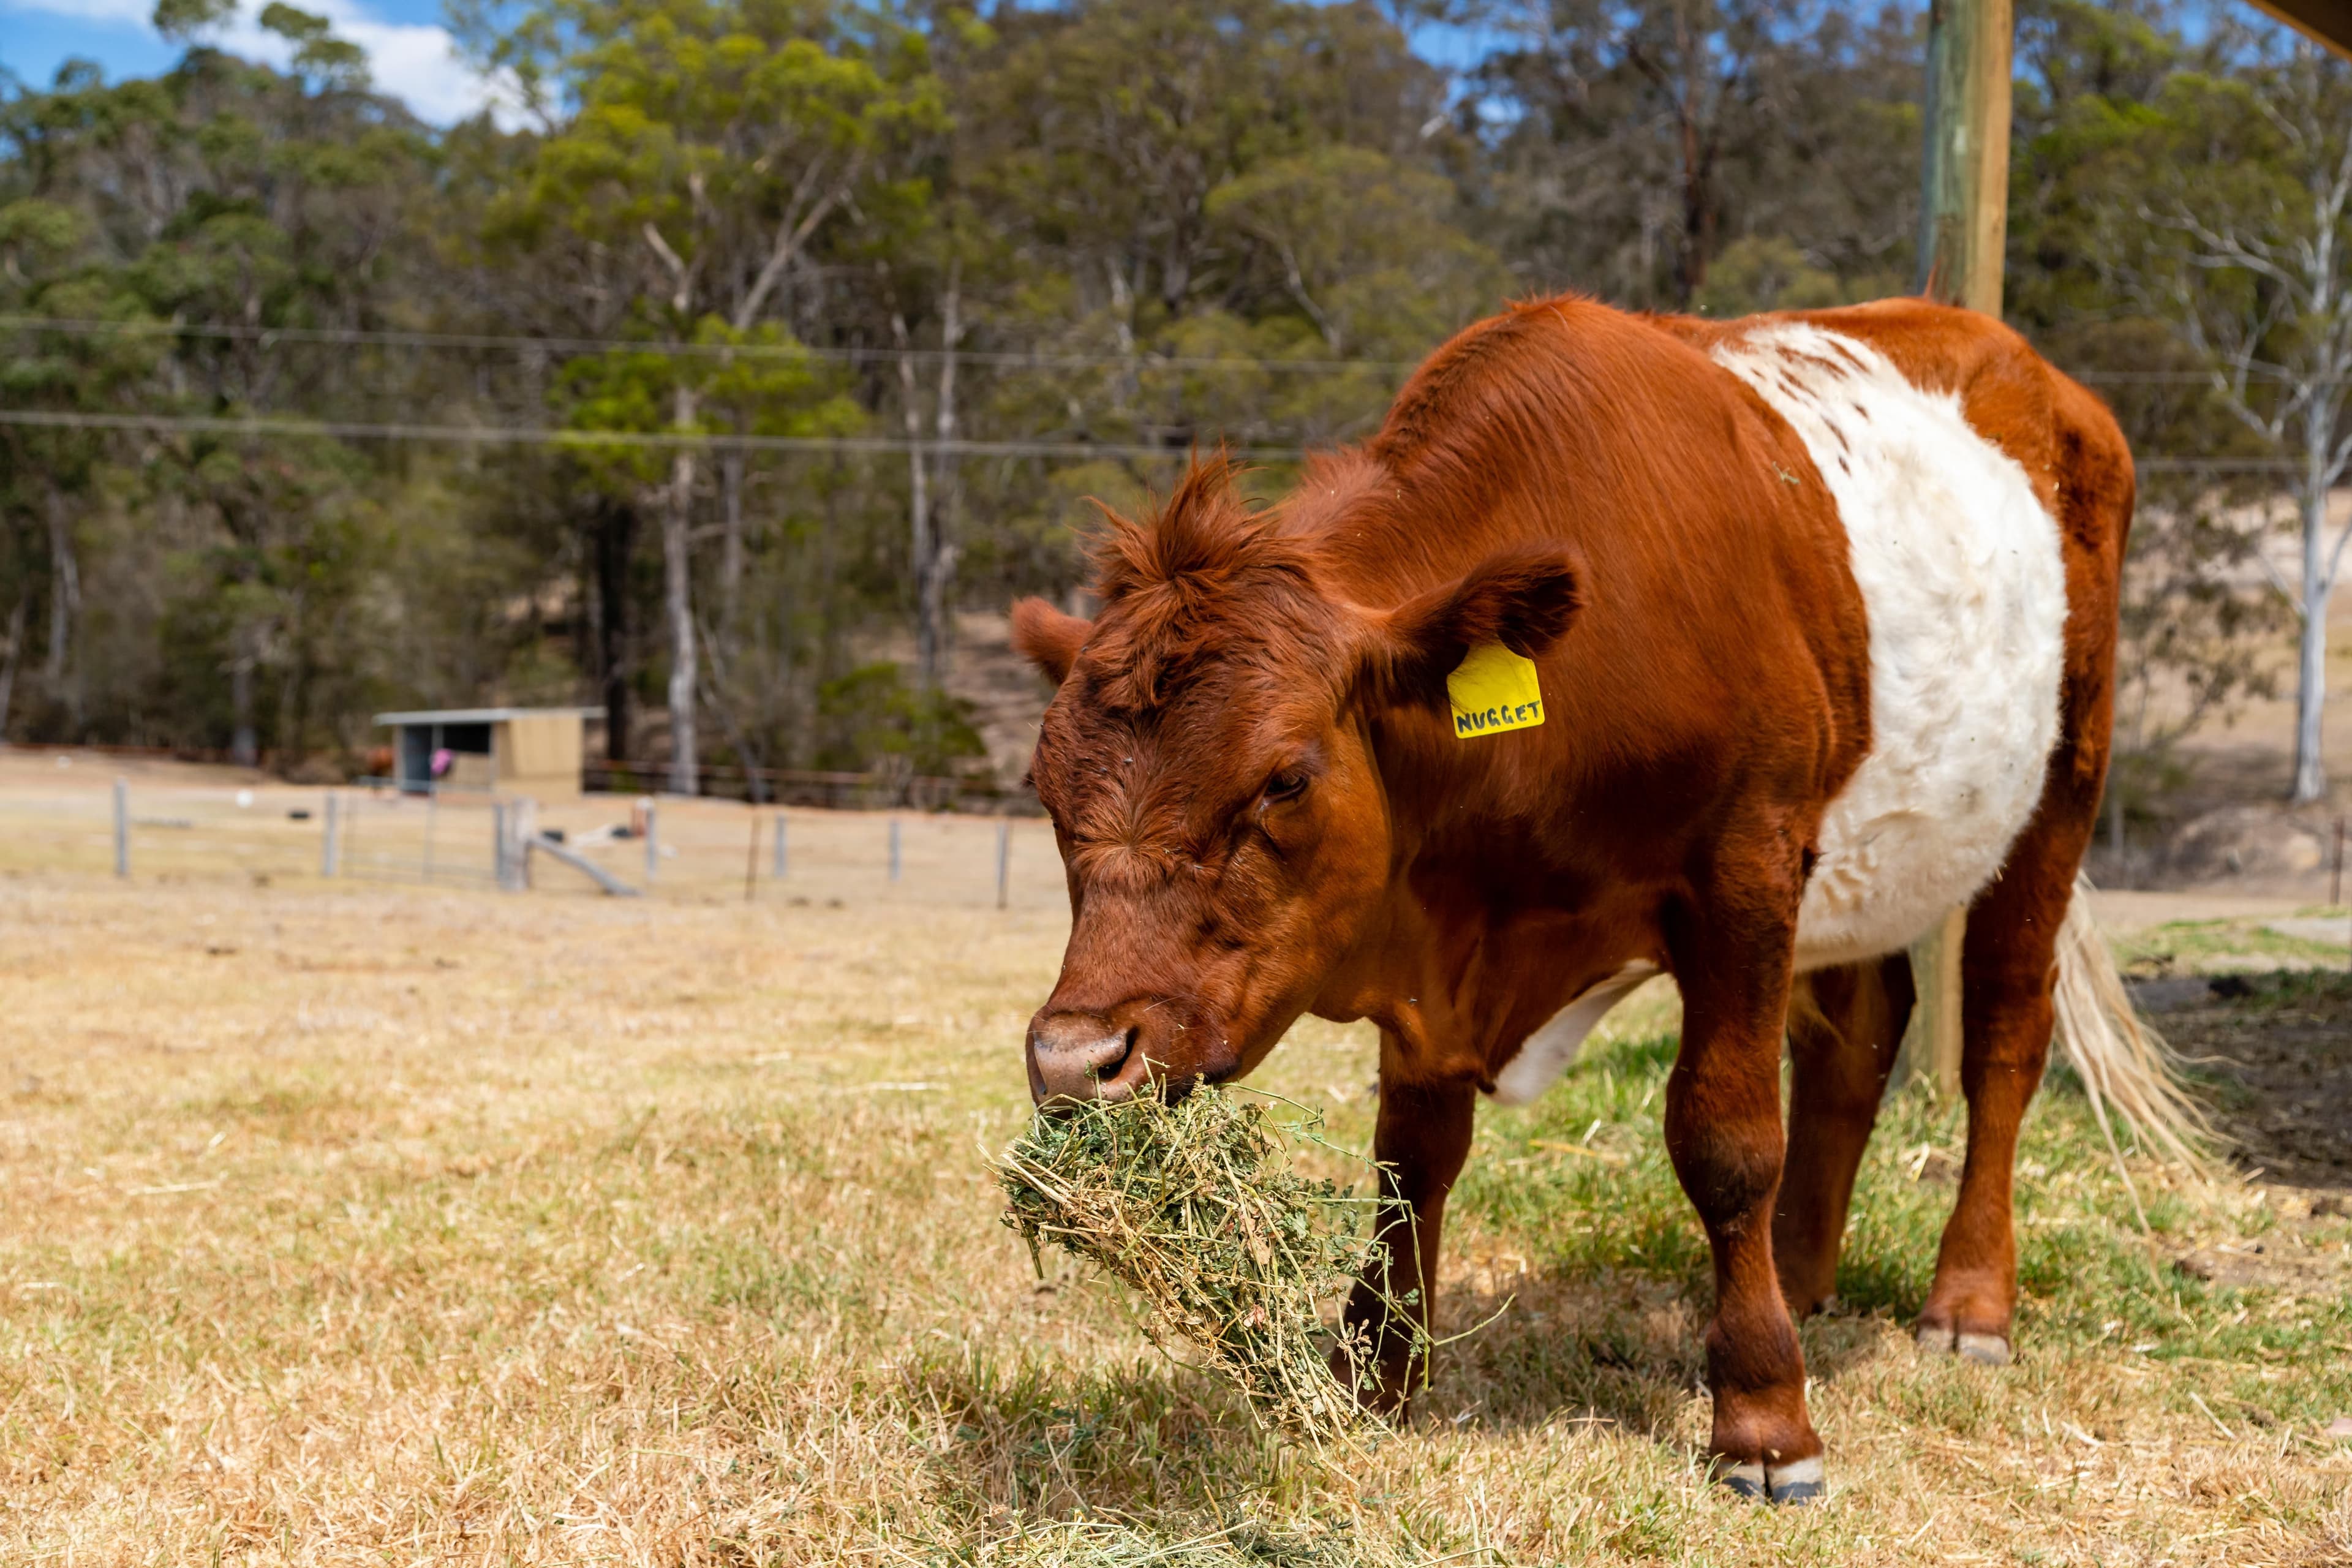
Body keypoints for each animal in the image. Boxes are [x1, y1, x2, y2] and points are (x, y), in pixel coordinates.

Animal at [1008, 295, 2193, 1505]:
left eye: (1284, 778)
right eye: (1043, 788)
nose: (1075, 1060)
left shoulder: (1745, 865)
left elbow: (1726, 1139)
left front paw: (1765, 1416)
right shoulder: (1442, 945)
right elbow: (1411, 1156)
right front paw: (1374, 1379)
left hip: (2059, 789)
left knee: (2004, 1032)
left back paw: (1968, 1304)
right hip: (1867, 851)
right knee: (1859, 1033)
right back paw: (1800, 1273)